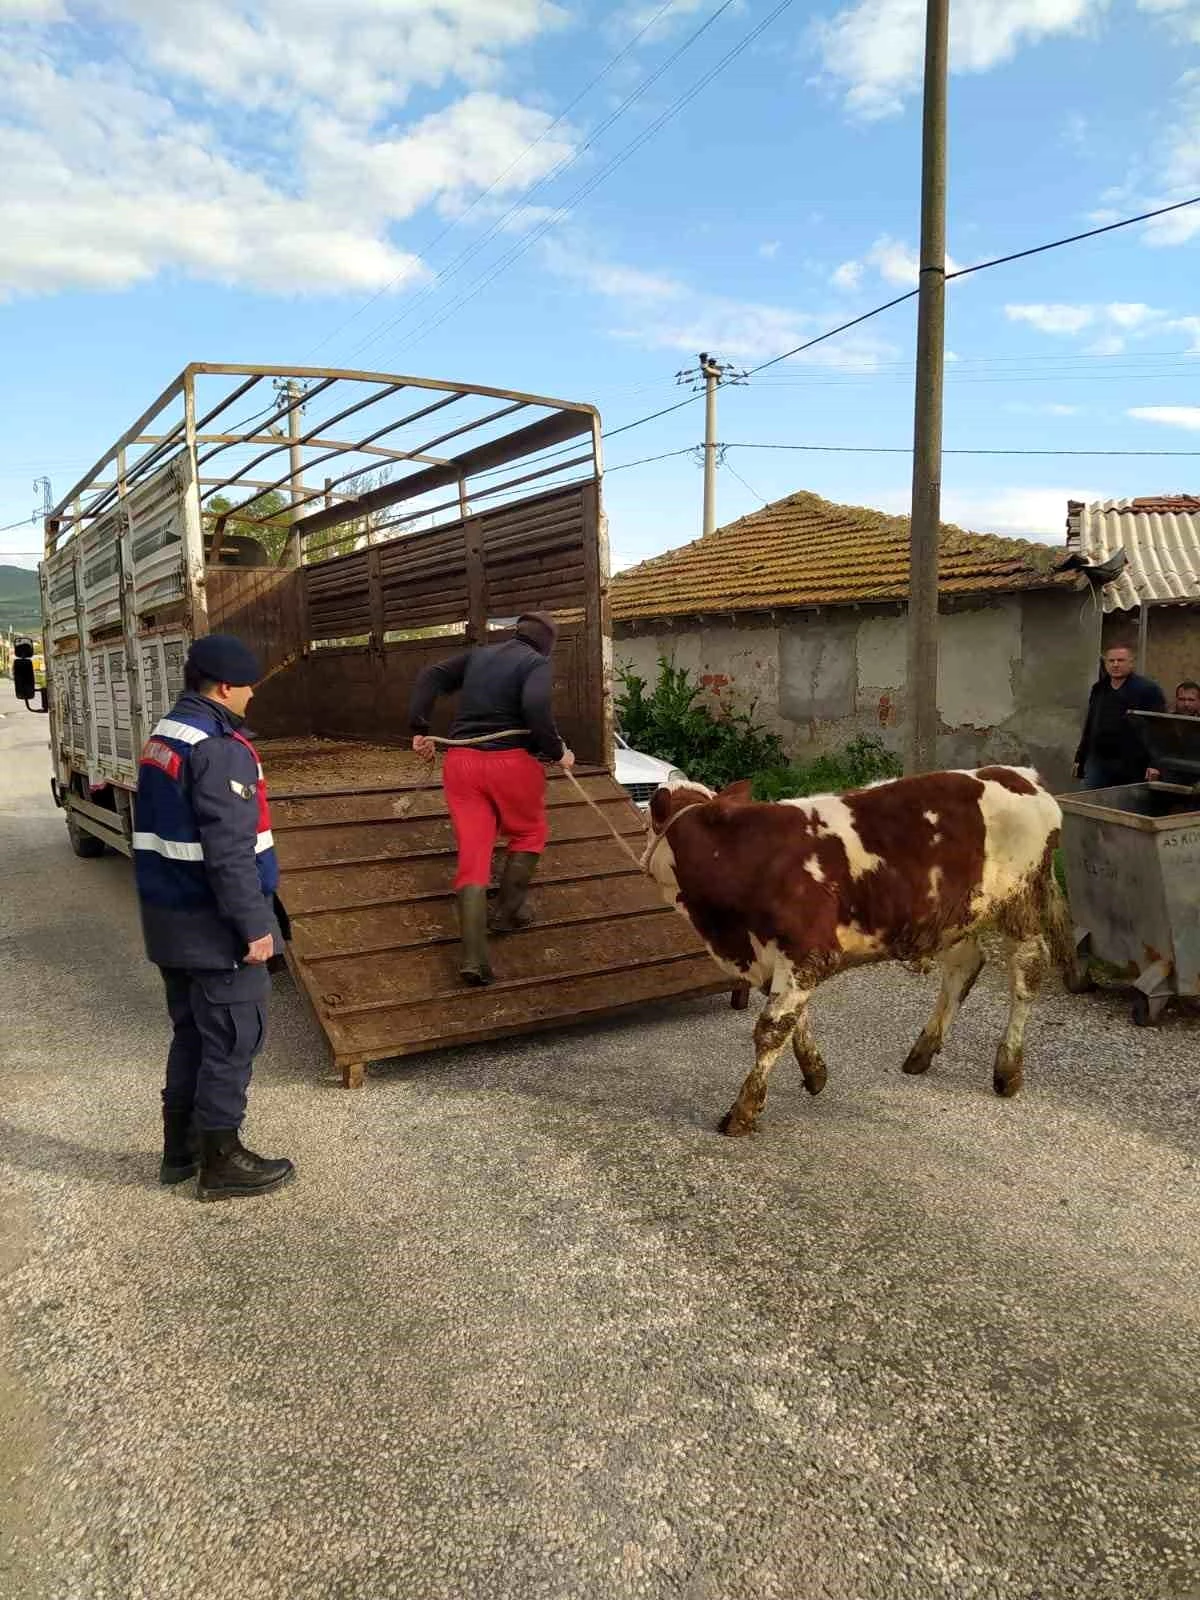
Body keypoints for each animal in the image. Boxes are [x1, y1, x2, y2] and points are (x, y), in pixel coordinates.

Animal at [649, 764, 1068, 1132]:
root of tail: (1020, 775)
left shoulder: (807, 950)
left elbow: (771, 1028)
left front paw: (743, 1111)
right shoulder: (776, 957)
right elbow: (794, 1017)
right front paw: (814, 1072)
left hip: (1020, 903)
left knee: (1027, 972)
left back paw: (1008, 1069)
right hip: (954, 913)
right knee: (964, 965)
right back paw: (923, 1051)